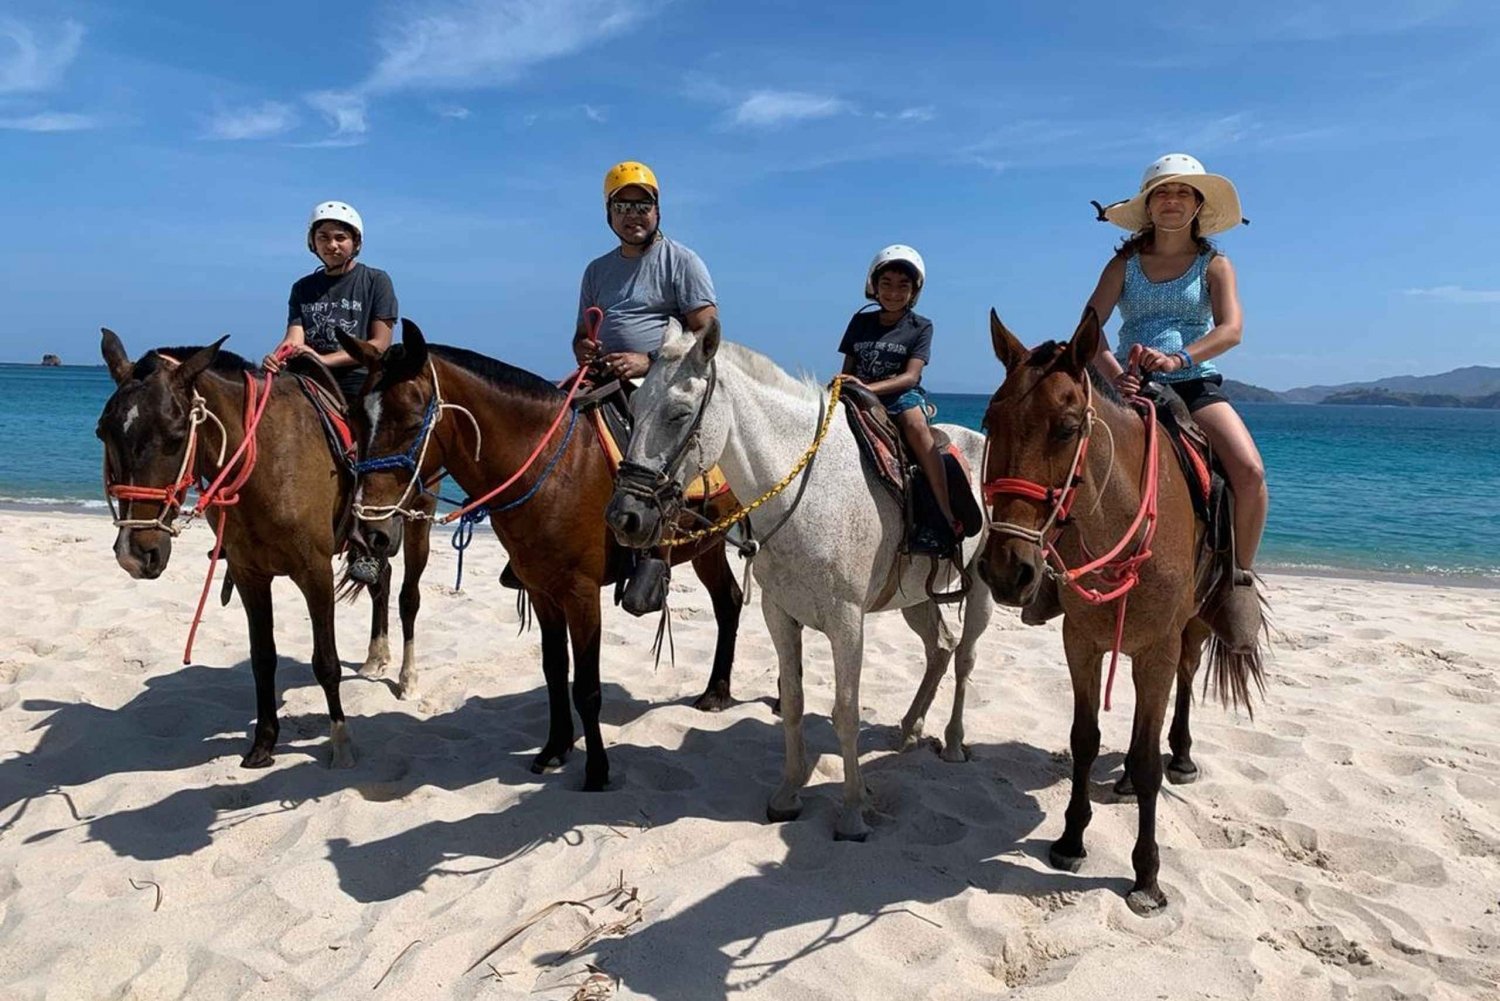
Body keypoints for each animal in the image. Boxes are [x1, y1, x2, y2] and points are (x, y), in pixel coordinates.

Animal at [98, 333, 435, 774]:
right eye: (102, 433)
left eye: (175, 435)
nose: (135, 554)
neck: (267, 462)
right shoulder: (249, 574)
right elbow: (262, 658)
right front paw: (263, 744)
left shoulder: (314, 573)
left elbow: (326, 663)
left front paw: (341, 743)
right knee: (381, 581)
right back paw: (376, 657)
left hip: (417, 521)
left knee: (408, 596)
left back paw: (407, 678)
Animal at [337, 321, 741, 792]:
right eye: (354, 416)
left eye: (411, 421)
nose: (371, 531)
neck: (553, 469)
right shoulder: (542, 590)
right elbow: (553, 670)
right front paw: (555, 748)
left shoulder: (581, 594)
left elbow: (586, 686)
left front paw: (596, 771)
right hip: (707, 547)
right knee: (730, 601)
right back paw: (716, 691)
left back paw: (721, 692)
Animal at [603, 325, 990, 840]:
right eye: (634, 407)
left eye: (679, 413)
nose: (624, 518)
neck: (807, 493)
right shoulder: (779, 614)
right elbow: (793, 703)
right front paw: (788, 796)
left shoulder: (847, 623)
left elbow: (846, 712)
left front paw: (852, 812)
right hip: (914, 598)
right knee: (941, 647)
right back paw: (910, 728)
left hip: (982, 589)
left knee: (965, 657)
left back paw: (952, 742)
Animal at [972, 310, 1266, 918]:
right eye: (990, 420)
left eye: (1066, 427)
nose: (1007, 571)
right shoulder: (1081, 641)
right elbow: (1085, 739)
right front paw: (1070, 839)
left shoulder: (1157, 647)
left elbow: (1150, 757)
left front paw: (1146, 875)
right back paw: (1127, 776)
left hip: (1190, 629)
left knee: (1183, 684)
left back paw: (1180, 756)